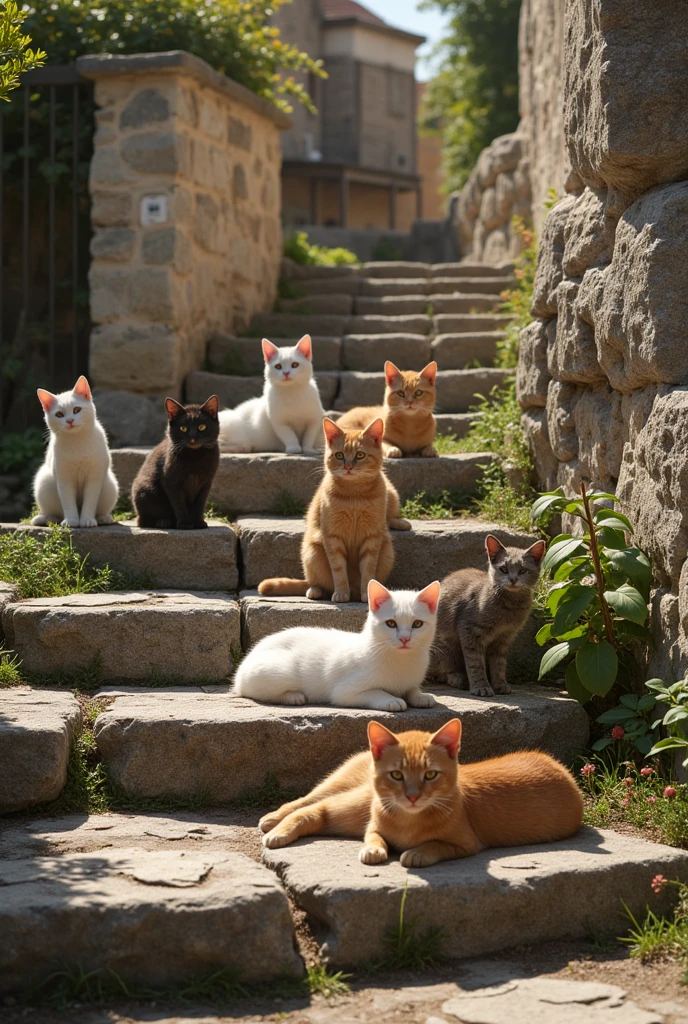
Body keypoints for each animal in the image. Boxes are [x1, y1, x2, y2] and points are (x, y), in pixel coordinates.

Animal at [32, 380, 118, 532]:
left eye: (77, 410)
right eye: (59, 414)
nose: (70, 421)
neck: (77, 441)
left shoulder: (94, 476)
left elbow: (90, 500)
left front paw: (87, 520)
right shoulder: (63, 477)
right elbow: (67, 501)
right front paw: (71, 521)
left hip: (110, 485)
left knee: (101, 510)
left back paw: (103, 518)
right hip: (43, 482)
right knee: (56, 514)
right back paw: (43, 519)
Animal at [132, 395, 220, 532]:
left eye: (202, 427)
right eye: (183, 428)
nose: (192, 438)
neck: (194, 457)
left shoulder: (206, 483)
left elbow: (199, 504)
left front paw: (198, 523)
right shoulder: (171, 482)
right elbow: (179, 504)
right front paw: (184, 524)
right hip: (146, 490)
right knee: (144, 520)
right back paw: (164, 522)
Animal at [261, 716, 581, 868]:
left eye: (430, 774)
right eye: (397, 775)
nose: (412, 796)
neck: (407, 821)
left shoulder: (467, 844)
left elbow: (436, 844)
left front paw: (417, 853)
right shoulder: (372, 823)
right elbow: (374, 835)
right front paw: (375, 849)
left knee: (318, 808)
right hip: (350, 800)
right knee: (311, 804)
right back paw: (275, 826)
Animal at [432, 536, 544, 696]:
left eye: (523, 570)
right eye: (503, 569)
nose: (513, 579)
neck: (509, 606)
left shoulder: (504, 638)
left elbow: (499, 664)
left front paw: (500, 684)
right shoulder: (469, 630)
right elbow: (475, 663)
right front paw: (481, 687)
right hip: (444, 648)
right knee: (442, 673)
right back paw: (460, 679)